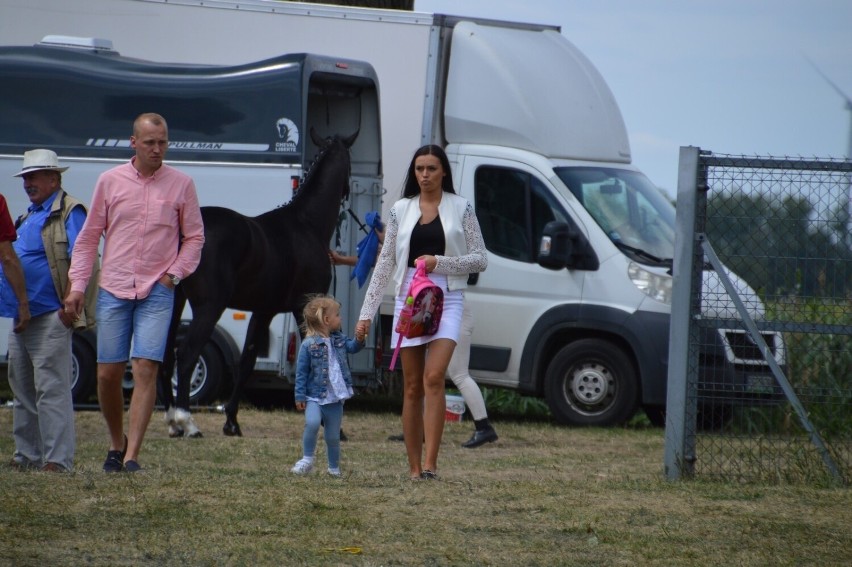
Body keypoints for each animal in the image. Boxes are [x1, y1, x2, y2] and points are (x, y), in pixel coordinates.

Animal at [160, 130, 356, 440]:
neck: (306, 224)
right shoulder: (304, 307)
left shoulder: (264, 311)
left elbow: (247, 361)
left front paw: (231, 421)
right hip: (209, 307)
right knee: (187, 354)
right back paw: (187, 422)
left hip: (175, 302)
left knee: (166, 356)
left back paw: (172, 422)